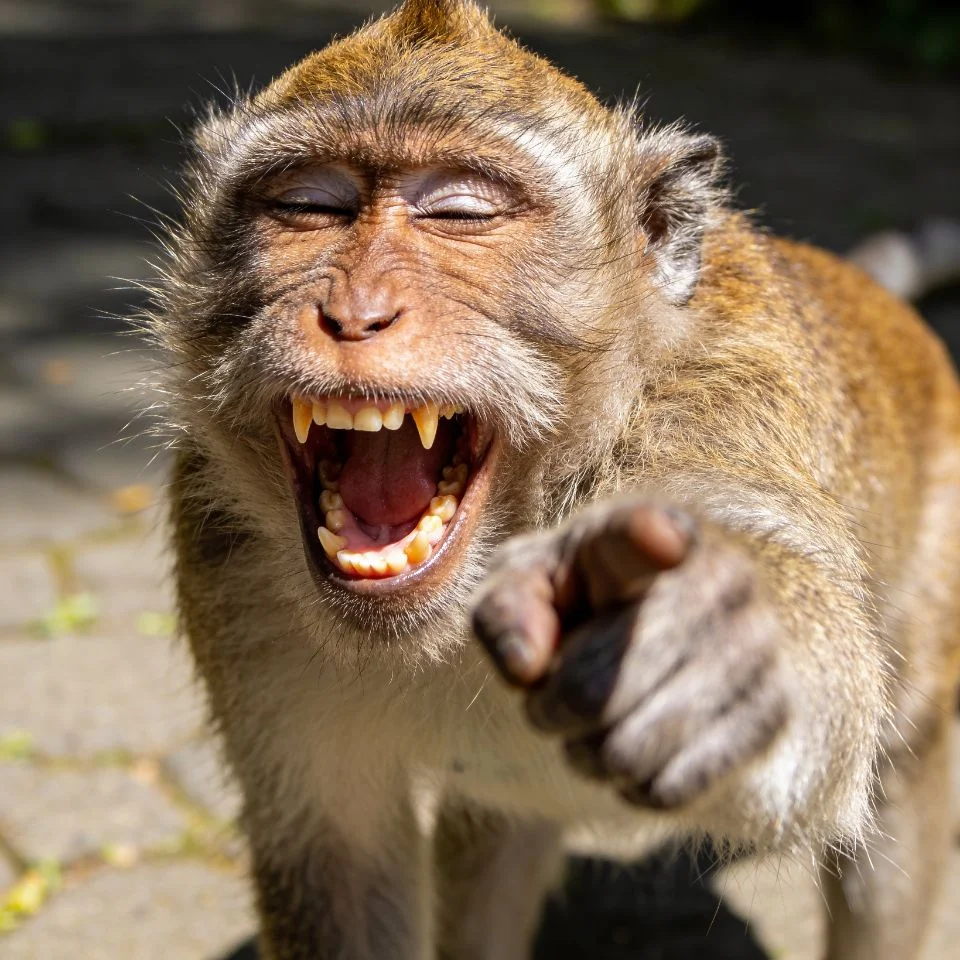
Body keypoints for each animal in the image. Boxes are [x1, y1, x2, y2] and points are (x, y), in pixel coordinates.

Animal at [147, 1, 960, 958]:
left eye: (460, 212)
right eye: (310, 206)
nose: (355, 312)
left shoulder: (719, 410)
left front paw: (714, 638)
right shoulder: (226, 562)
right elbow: (335, 860)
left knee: (903, 776)